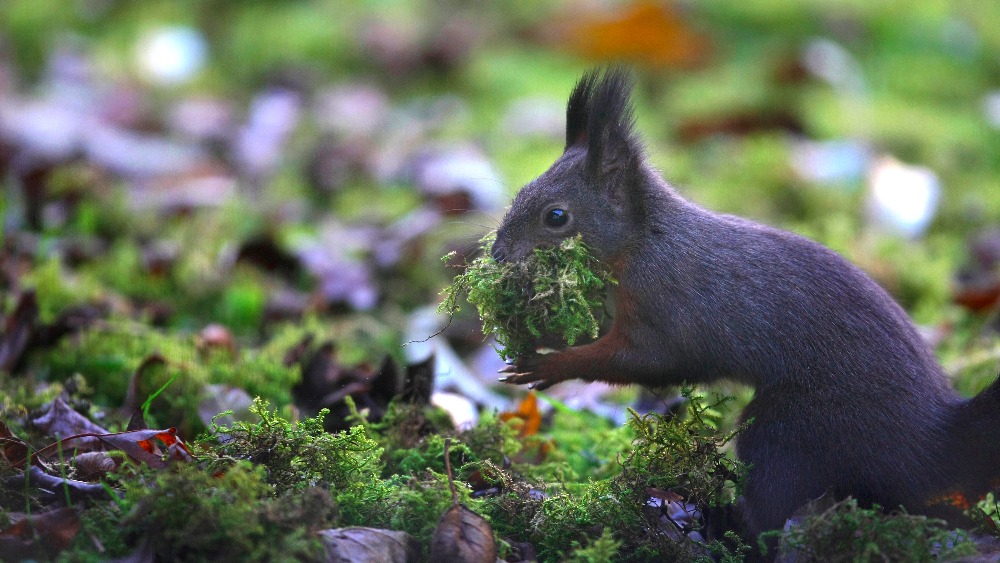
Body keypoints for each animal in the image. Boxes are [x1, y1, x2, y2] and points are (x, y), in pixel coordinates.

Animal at [492, 68, 1000, 540]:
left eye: (556, 216)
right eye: (519, 194)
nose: (497, 255)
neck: (643, 242)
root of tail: (935, 441)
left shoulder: (667, 304)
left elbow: (647, 360)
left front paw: (550, 365)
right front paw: (544, 342)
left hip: (792, 431)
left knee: (779, 504)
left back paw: (725, 522)